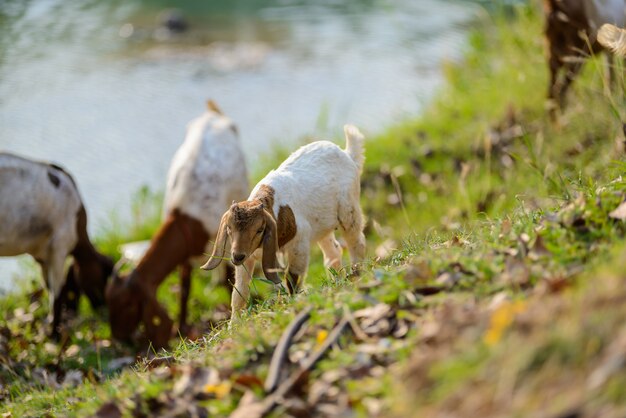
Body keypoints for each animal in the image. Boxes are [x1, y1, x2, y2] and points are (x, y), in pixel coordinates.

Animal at [0, 153, 113, 340]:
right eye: (103, 279)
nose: (102, 306)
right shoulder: (59, 247)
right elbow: (57, 293)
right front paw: (54, 334)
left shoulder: (42, 257)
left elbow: (49, 287)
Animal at [200, 124, 366, 320]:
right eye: (229, 229)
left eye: (259, 229)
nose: (237, 256)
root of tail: (347, 154)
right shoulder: (247, 258)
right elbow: (239, 292)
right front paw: (235, 323)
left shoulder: (299, 243)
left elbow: (293, 277)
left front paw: (293, 303)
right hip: (322, 226)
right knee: (333, 251)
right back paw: (337, 278)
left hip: (349, 208)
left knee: (356, 240)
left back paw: (357, 271)